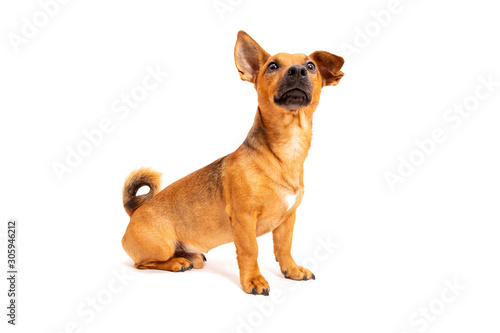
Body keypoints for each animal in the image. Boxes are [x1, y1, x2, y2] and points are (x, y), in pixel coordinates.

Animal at [120, 31, 344, 294]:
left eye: (310, 66)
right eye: (272, 66)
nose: (298, 70)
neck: (285, 150)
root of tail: (134, 212)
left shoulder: (288, 220)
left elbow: (283, 247)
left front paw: (291, 269)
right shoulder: (244, 218)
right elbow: (250, 251)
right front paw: (253, 280)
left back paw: (189, 257)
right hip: (160, 247)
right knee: (143, 264)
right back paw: (177, 263)